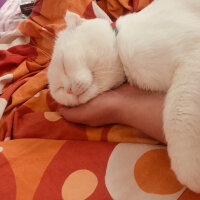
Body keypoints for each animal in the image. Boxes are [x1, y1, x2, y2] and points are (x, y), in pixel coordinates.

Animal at [48, 0, 200, 194]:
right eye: (58, 89)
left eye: (64, 65)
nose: (67, 90)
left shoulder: (194, 55)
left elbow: (179, 115)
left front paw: (190, 170)